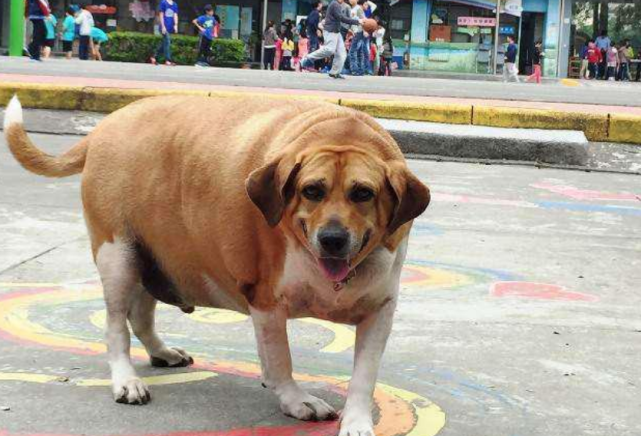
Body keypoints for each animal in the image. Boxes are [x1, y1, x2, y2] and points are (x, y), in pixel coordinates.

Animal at [3, 95, 430, 436]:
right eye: (312, 190)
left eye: (363, 193)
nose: (333, 239)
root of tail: (104, 127)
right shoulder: (266, 301)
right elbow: (280, 360)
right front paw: (295, 399)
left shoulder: (379, 311)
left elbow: (364, 376)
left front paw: (357, 421)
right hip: (119, 256)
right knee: (116, 326)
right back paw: (125, 380)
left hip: (154, 256)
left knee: (141, 314)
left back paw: (161, 351)